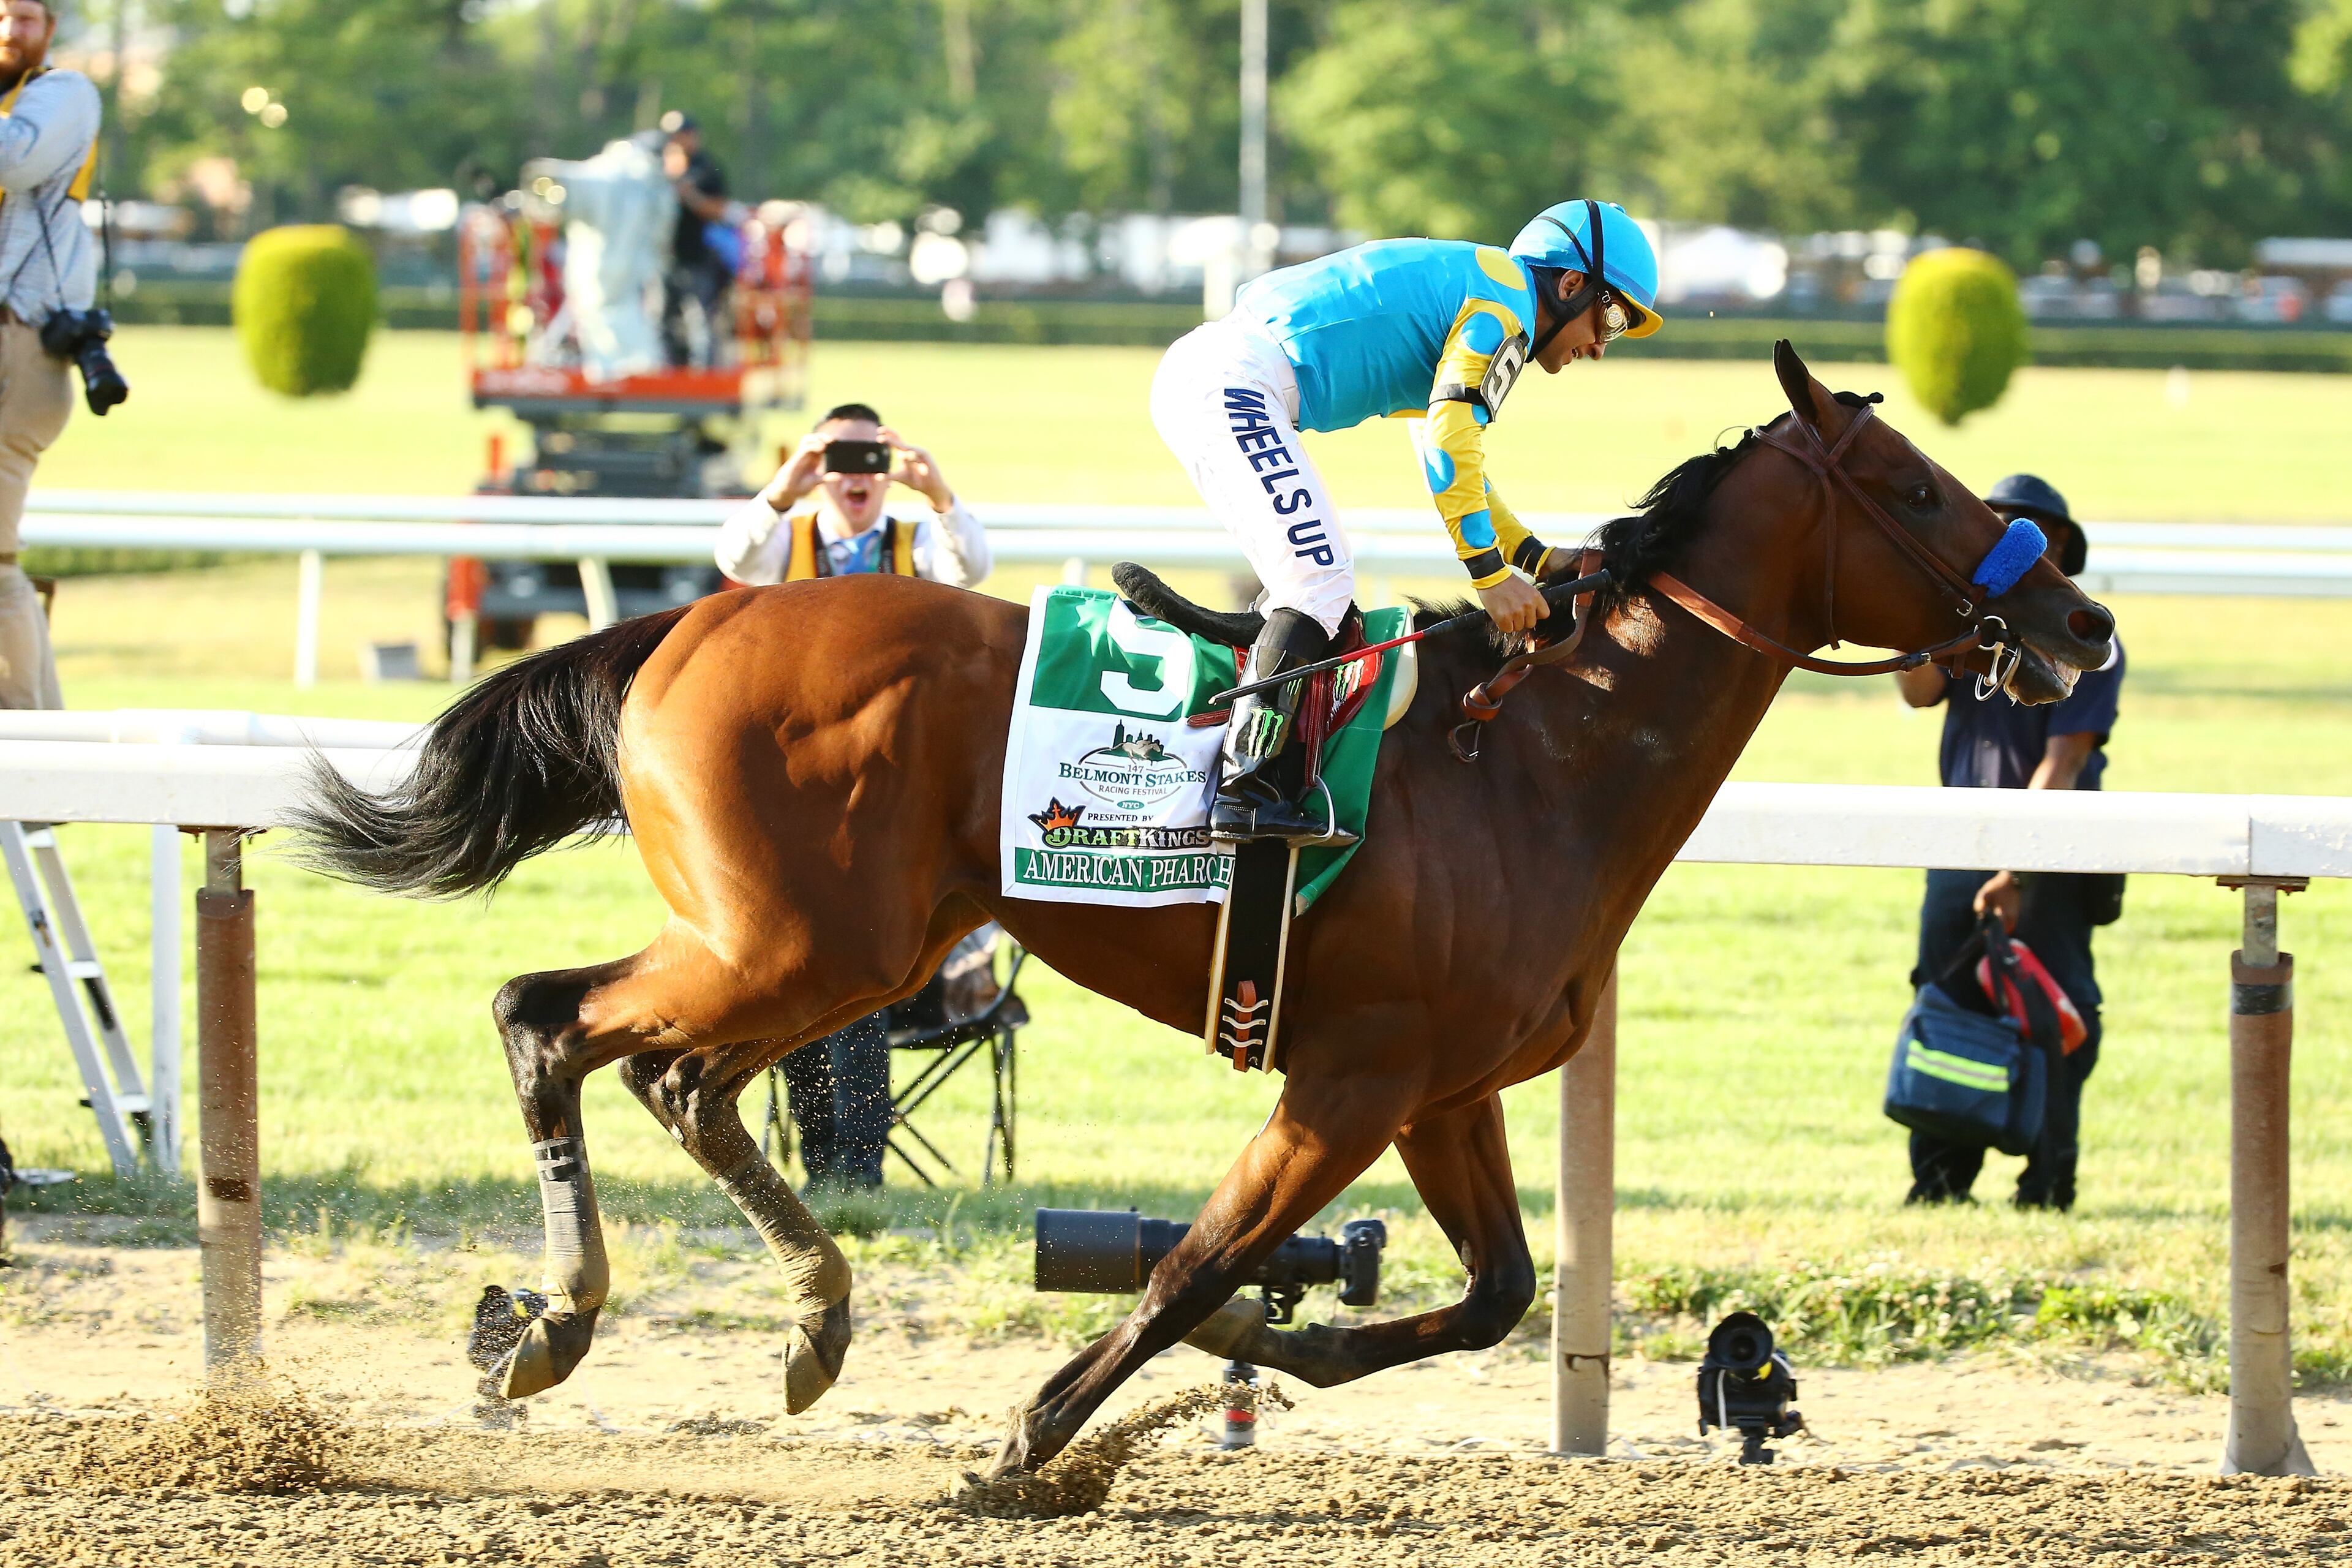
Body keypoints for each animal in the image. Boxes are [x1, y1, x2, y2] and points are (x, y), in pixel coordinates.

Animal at [294, 343, 2114, 1472]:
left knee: (679, 1079)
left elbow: (1497, 1290)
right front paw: (1031, 1441)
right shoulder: (1350, 1080)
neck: (1534, 753)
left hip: (835, 954)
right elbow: (1188, 1261)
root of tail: (692, 618)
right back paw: (552, 1326)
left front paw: (1272, 1348)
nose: (2080, 616)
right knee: (549, 1020)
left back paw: (801, 1323)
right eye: (1920, 489)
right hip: (792, 940)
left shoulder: (1439, 1085)